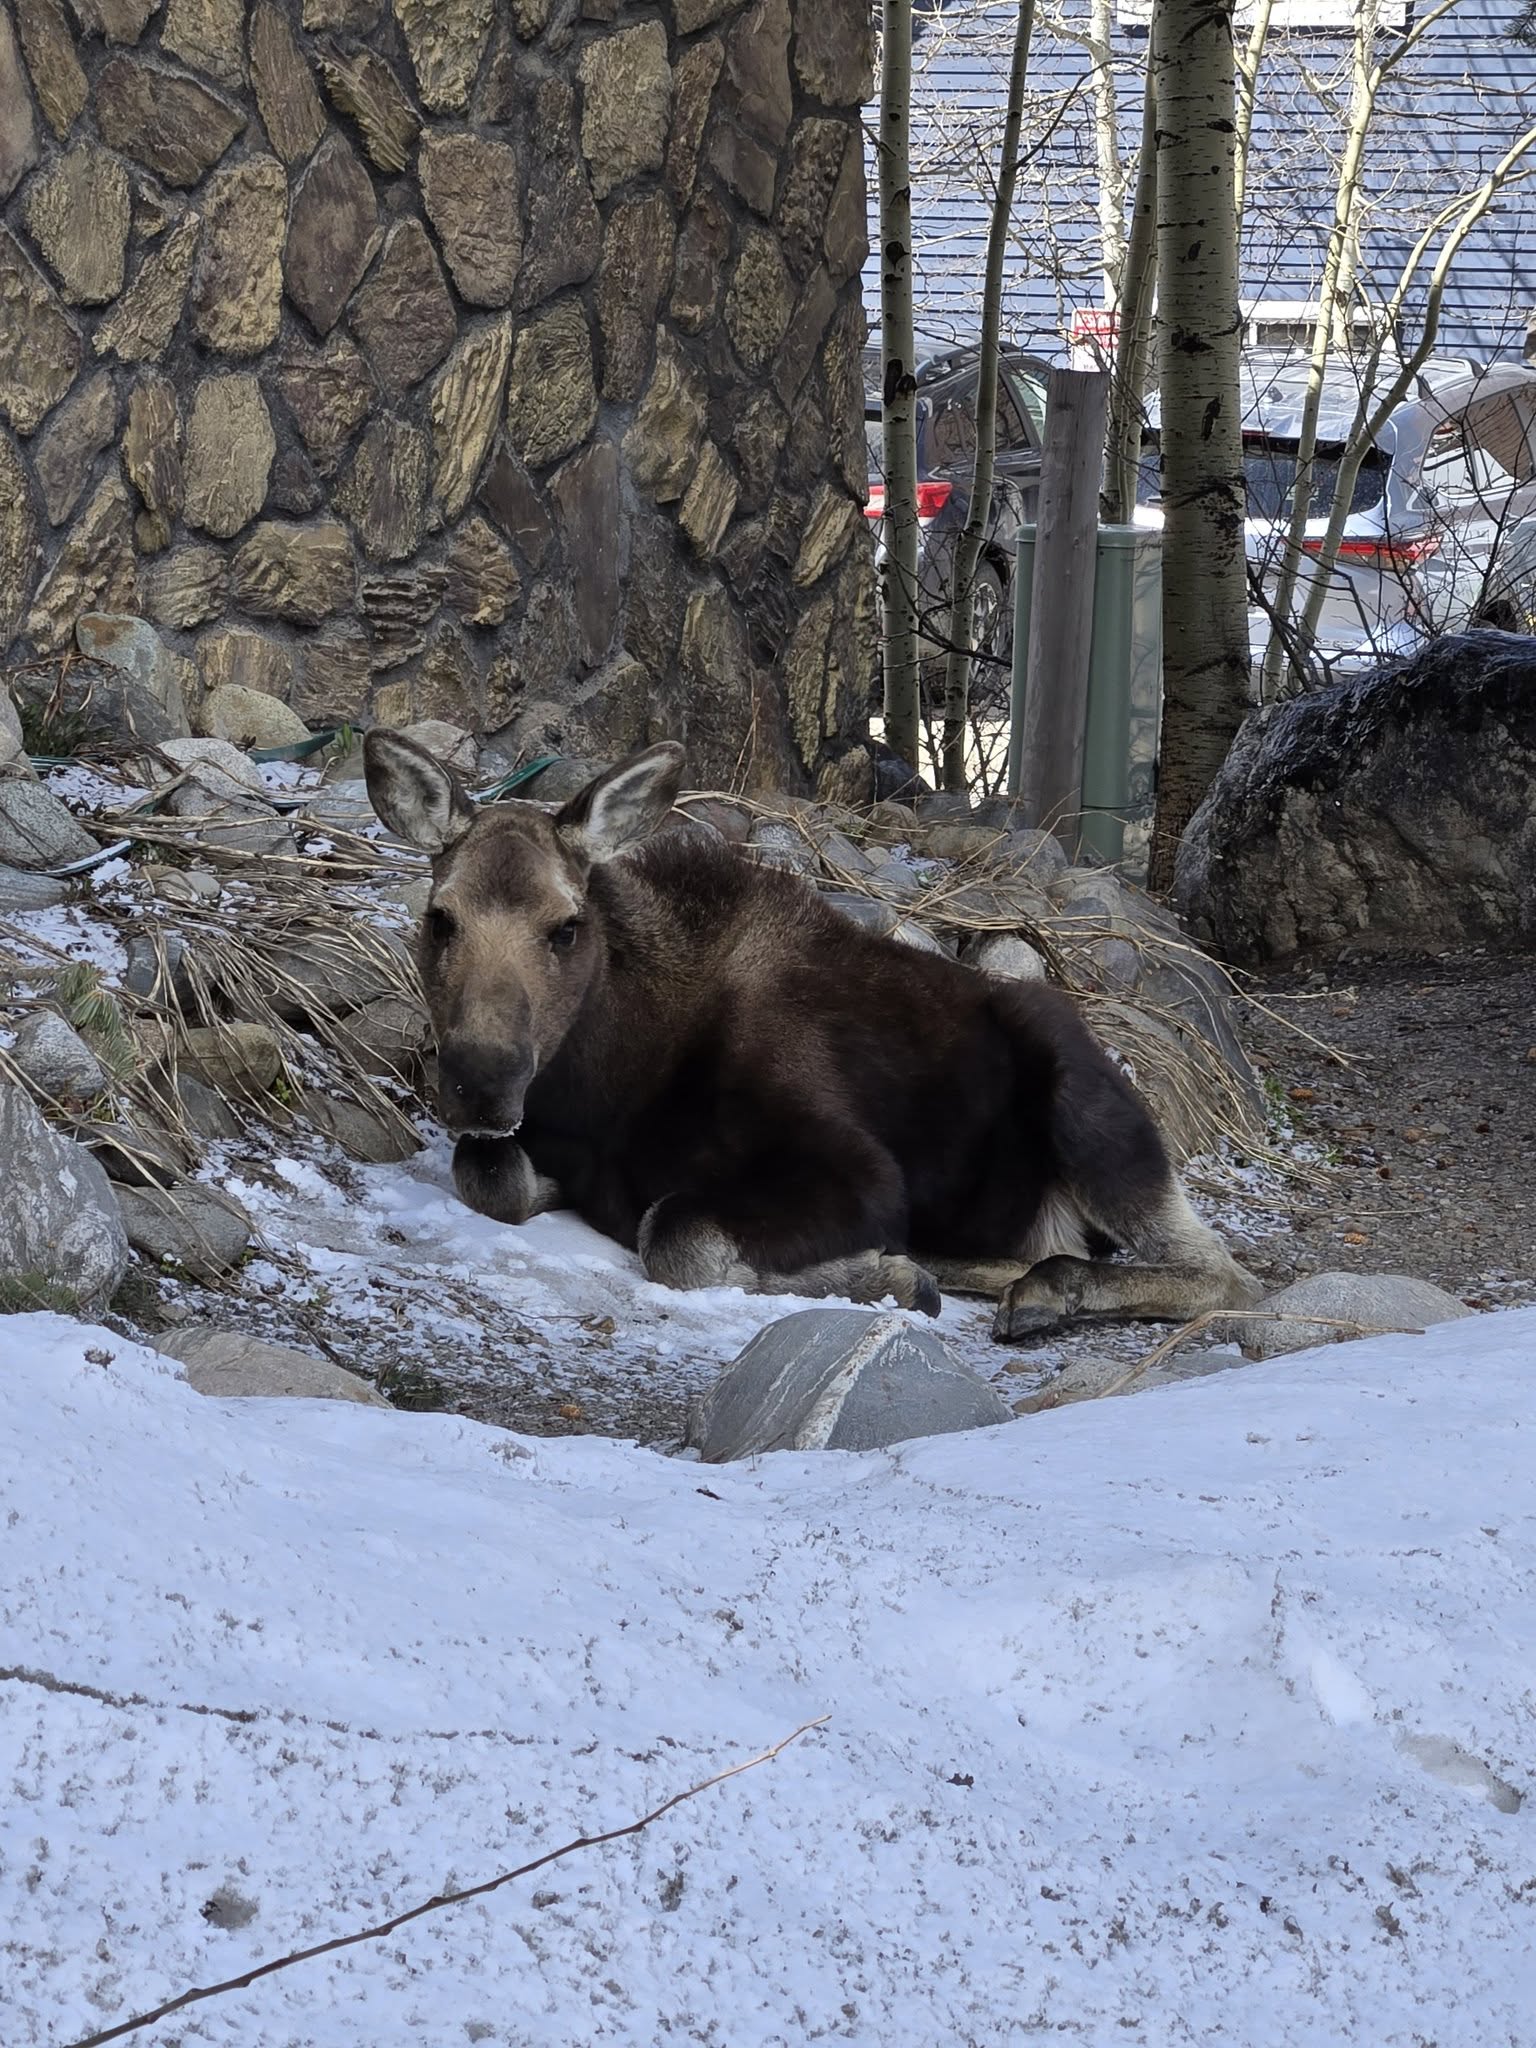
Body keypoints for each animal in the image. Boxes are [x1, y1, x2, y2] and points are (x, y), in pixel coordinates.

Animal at [363, 731, 1261, 1342]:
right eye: (440, 918)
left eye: (565, 927)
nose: (482, 1078)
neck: (602, 1082)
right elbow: (491, 1174)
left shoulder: (859, 1170)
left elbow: (677, 1234)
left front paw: (880, 1279)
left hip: (1092, 1112)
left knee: (1222, 1271)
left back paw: (1045, 1287)